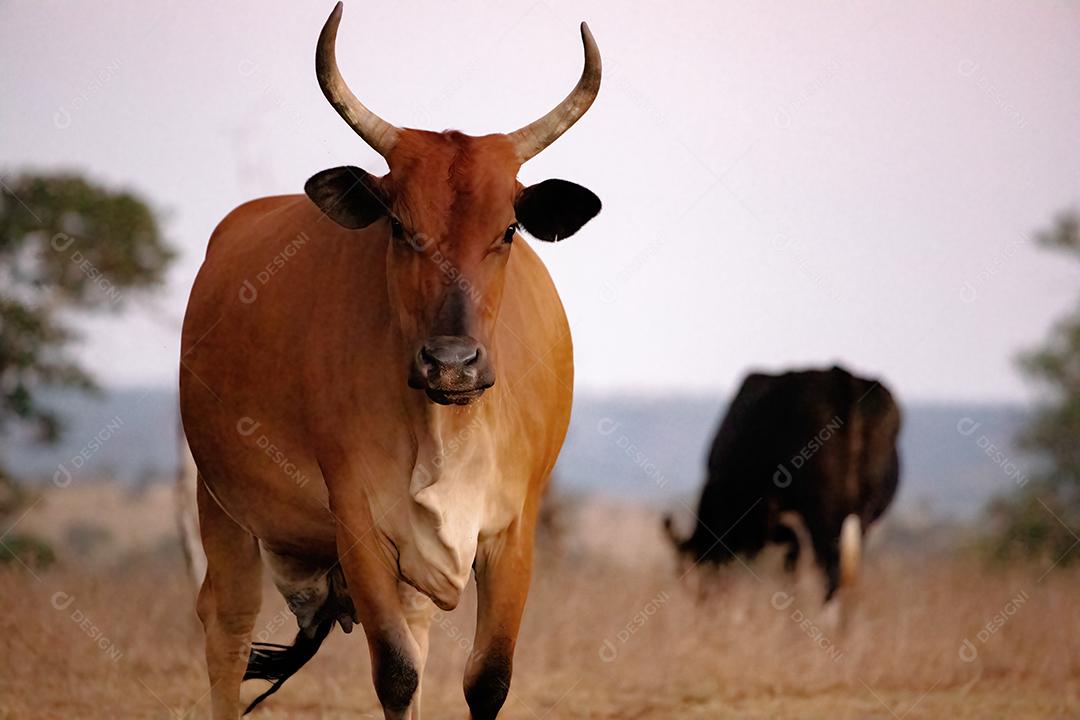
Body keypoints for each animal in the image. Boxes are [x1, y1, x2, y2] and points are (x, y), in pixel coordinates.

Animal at [179, 4, 601, 718]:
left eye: (509, 229)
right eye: (400, 227)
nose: (452, 363)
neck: (444, 428)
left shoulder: (513, 530)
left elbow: (487, 678)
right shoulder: (358, 524)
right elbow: (397, 674)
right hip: (221, 501)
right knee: (226, 629)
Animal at [664, 365, 900, 601]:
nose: (703, 599)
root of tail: (843, 379)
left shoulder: (759, 516)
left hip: (822, 513)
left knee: (830, 568)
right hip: (858, 515)